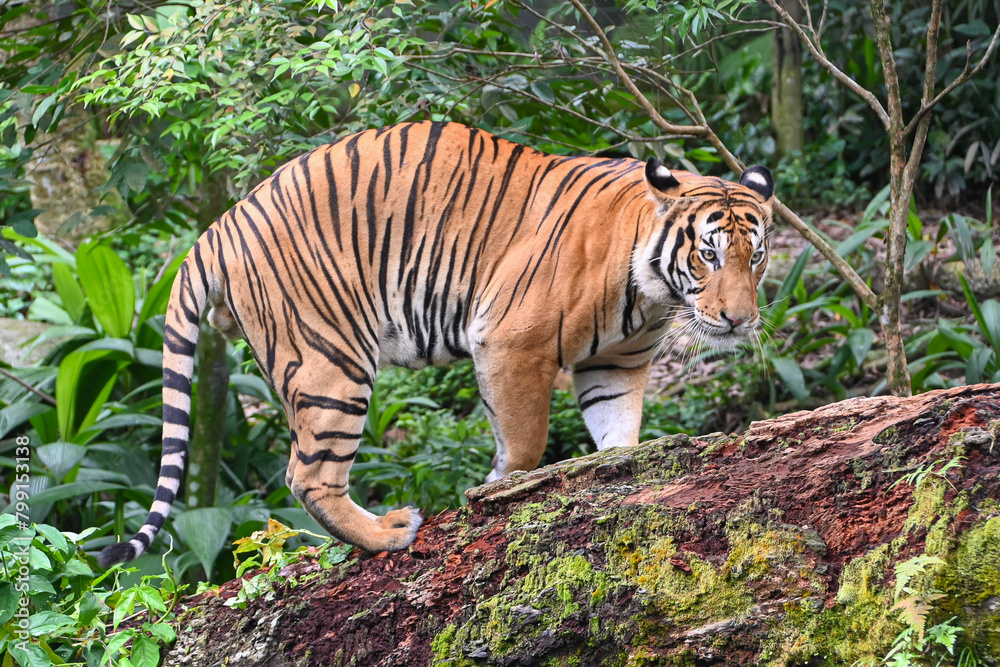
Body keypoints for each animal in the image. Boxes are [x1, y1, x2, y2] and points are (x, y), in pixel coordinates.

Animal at [98, 121, 773, 565]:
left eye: (757, 257)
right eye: (709, 255)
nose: (739, 320)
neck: (653, 295)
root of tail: (218, 227)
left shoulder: (615, 366)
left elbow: (618, 434)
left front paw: (618, 478)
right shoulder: (512, 344)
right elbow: (525, 443)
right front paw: (499, 491)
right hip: (333, 362)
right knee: (307, 475)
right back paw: (389, 533)